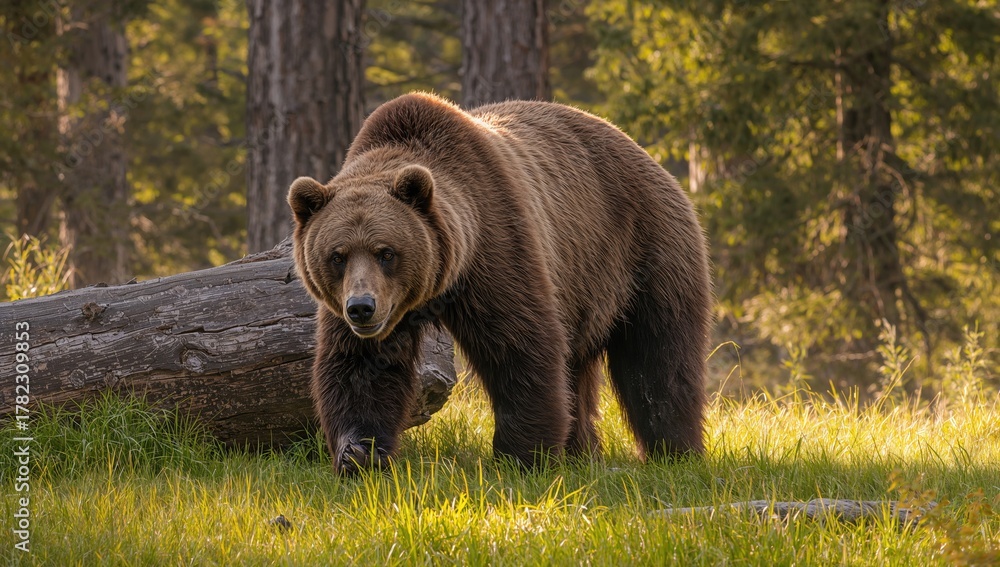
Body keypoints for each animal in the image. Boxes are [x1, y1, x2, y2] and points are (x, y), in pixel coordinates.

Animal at [288, 92, 711, 474]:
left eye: (386, 252)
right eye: (338, 255)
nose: (362, 307)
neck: (443, 282)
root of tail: (644, 153)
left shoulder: (494, 245)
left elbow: (520, 345)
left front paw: (524, 455)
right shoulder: (358, 311)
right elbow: (359, 366)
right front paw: (359, 453)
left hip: (642, 250)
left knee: (658, 358)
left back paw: (675, 451)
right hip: (584, 286)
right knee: (579, 367)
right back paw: (581, 450)